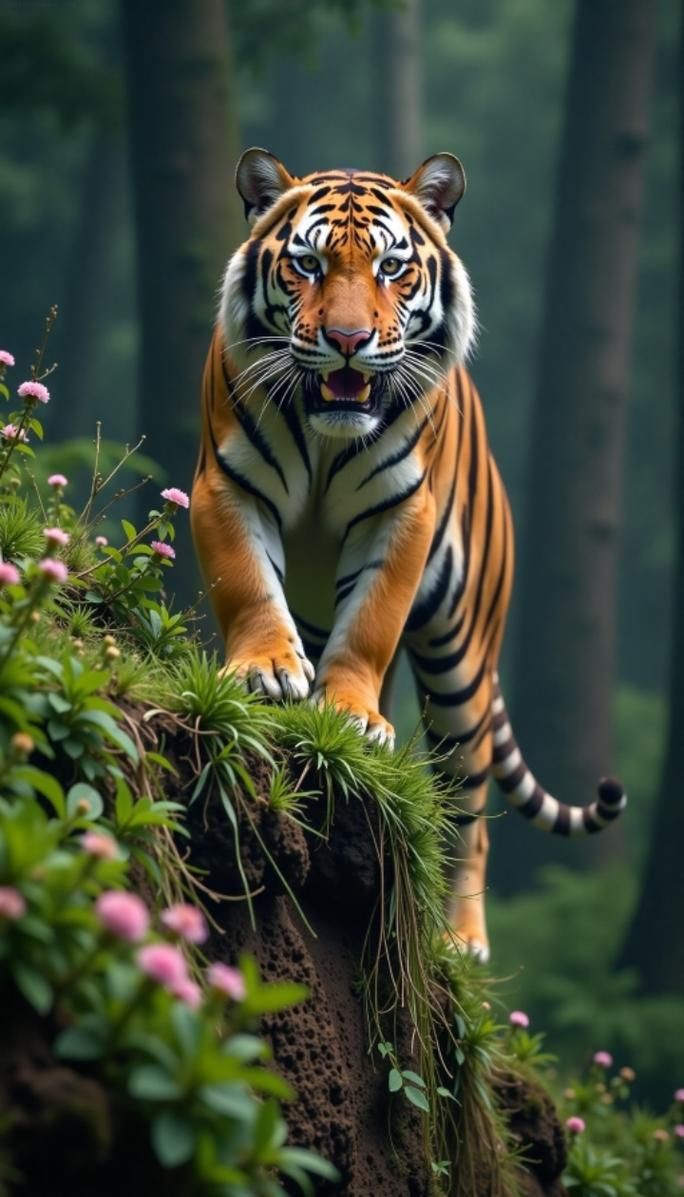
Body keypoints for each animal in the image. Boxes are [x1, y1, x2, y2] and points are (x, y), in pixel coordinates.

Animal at [191, 147, 627, 961]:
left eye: (391, 267)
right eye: (307, 264)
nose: (348, 339)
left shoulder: (403, 515)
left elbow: (371, 624)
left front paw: (350, 715)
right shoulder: (226, 485)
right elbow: (248, 586)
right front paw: (269, 672)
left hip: (463, 669)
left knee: (470, 812)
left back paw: (461, 940)